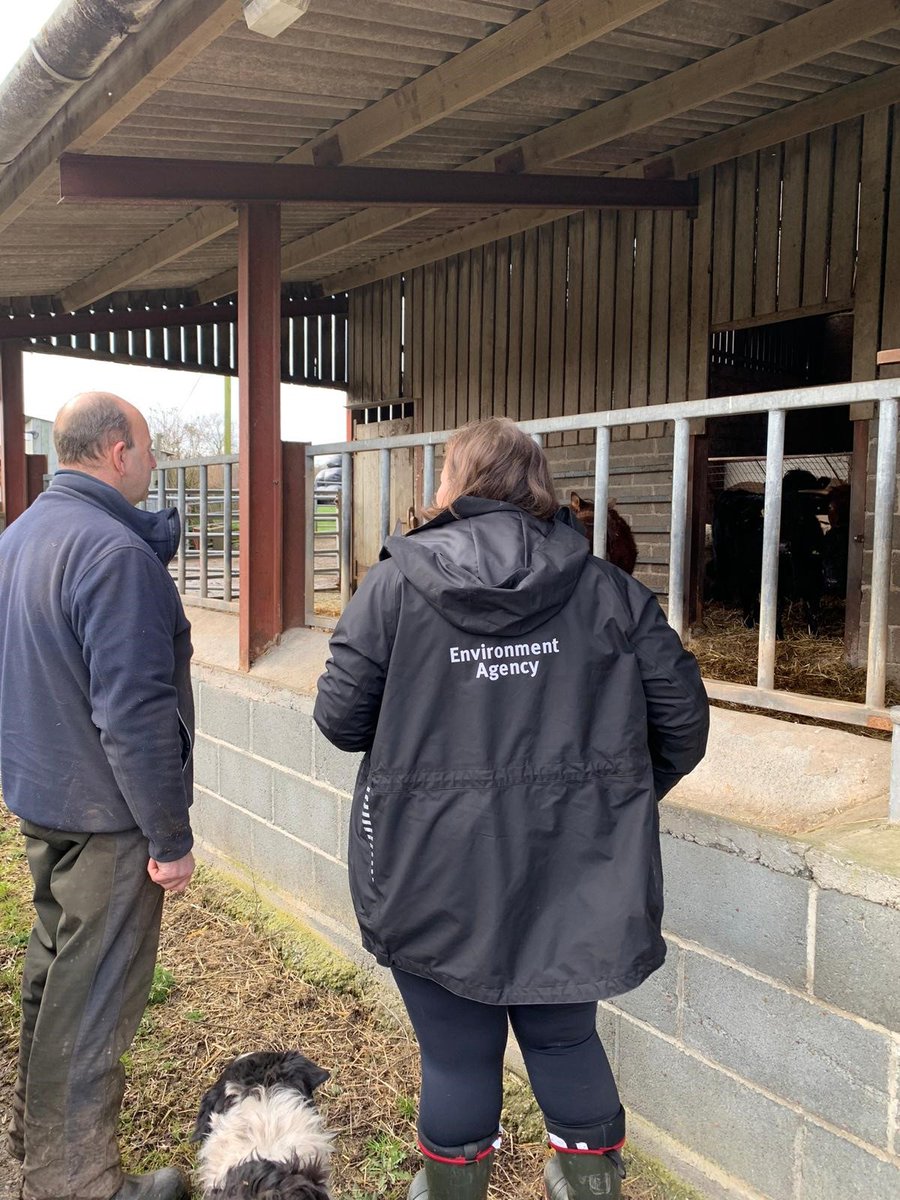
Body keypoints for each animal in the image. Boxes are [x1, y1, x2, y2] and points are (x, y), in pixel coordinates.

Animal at [715, 468, 830, 638]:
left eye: (806, 499)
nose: (782, 546)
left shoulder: (814, 578)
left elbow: (812, 610)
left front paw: (814, 635)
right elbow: (776, 608)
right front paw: (777, 636)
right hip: (731, 563)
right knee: (745, 594)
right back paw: (748, 622)